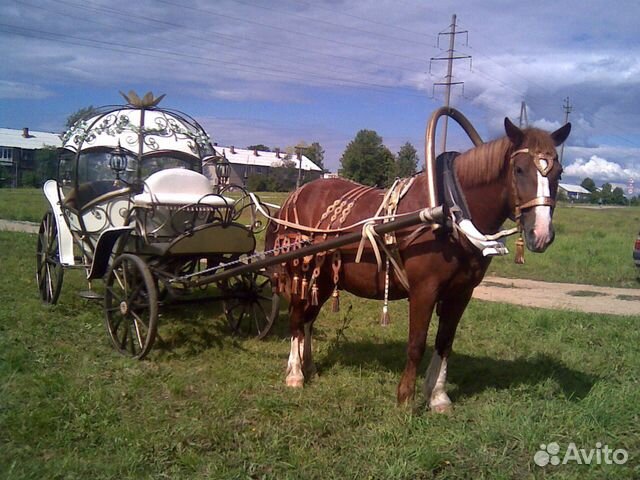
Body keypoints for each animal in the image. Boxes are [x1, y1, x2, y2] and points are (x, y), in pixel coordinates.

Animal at [264, 117, 568, 412]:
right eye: (519, 169)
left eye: (559, 172)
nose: (542, 233)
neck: (448, 212)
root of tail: (295, 196)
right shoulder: (424, 290)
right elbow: (417, 343)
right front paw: (406, 398)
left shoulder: (461, 293)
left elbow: (444, 342)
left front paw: (438, 396)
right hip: (300, 270)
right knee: (297, 318)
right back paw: (295, 374)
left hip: (324, 278)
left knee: (308, 319)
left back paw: (310, 366)